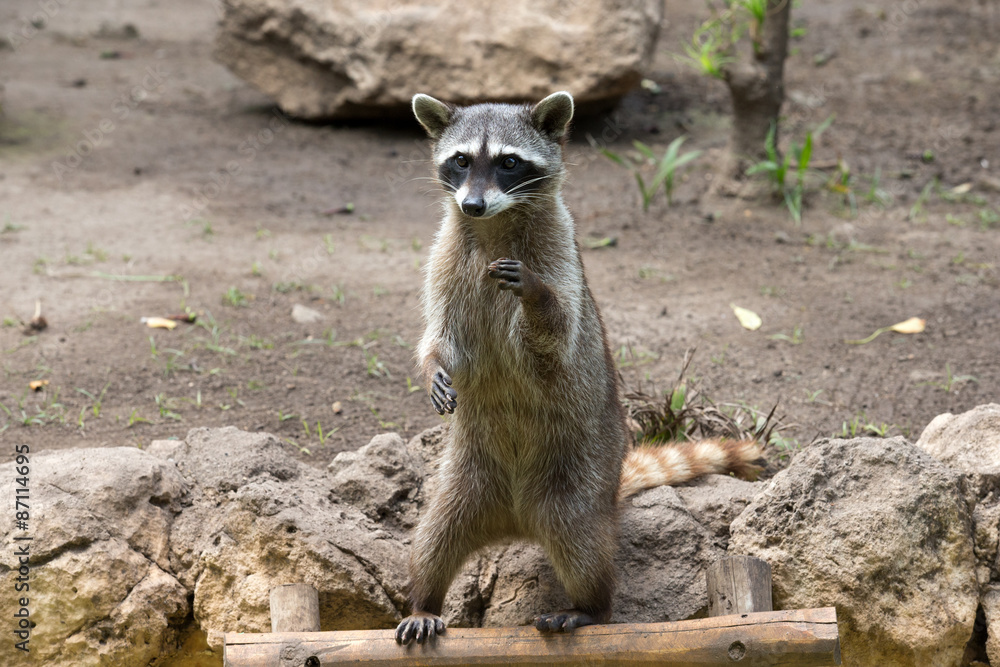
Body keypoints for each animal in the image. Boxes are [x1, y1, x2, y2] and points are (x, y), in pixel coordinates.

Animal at [396, 91, 761, 645]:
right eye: (460, 160)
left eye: (508, 163)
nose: (471, 204)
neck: (494, 223)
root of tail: (516, 523)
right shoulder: (446, 260)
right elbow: (441, 337)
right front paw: (433, 366)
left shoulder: (558, 256)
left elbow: (554, 338)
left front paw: (535, 298)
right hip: (463, 480)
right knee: (433, 537)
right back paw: (423, 599)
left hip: (580, 475)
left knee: (581, 542)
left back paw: (592, 605)